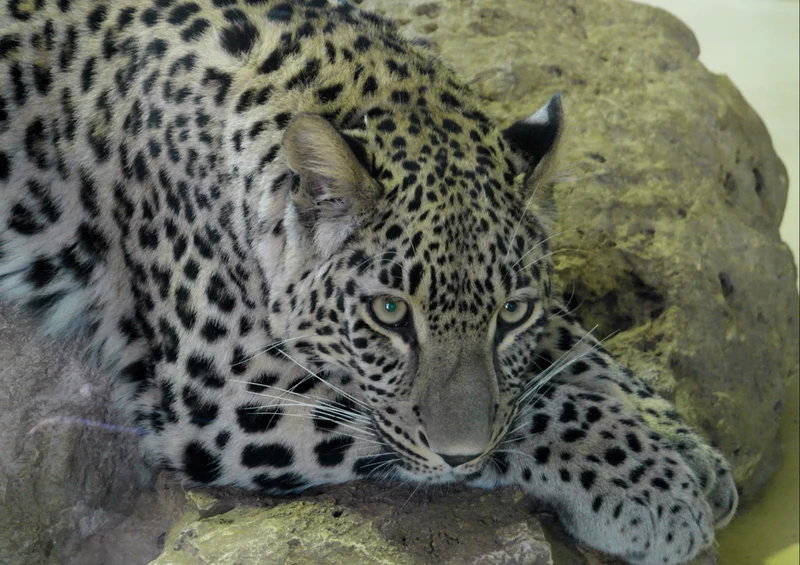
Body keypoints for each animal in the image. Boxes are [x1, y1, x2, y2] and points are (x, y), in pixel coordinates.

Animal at [0, 1, 738, 564]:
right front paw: (649, 481)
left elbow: (563, 348)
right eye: (388, 312)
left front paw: (680, 441)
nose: (460, 456)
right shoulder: (220, 394)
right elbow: (526, 410)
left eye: (511, 313)